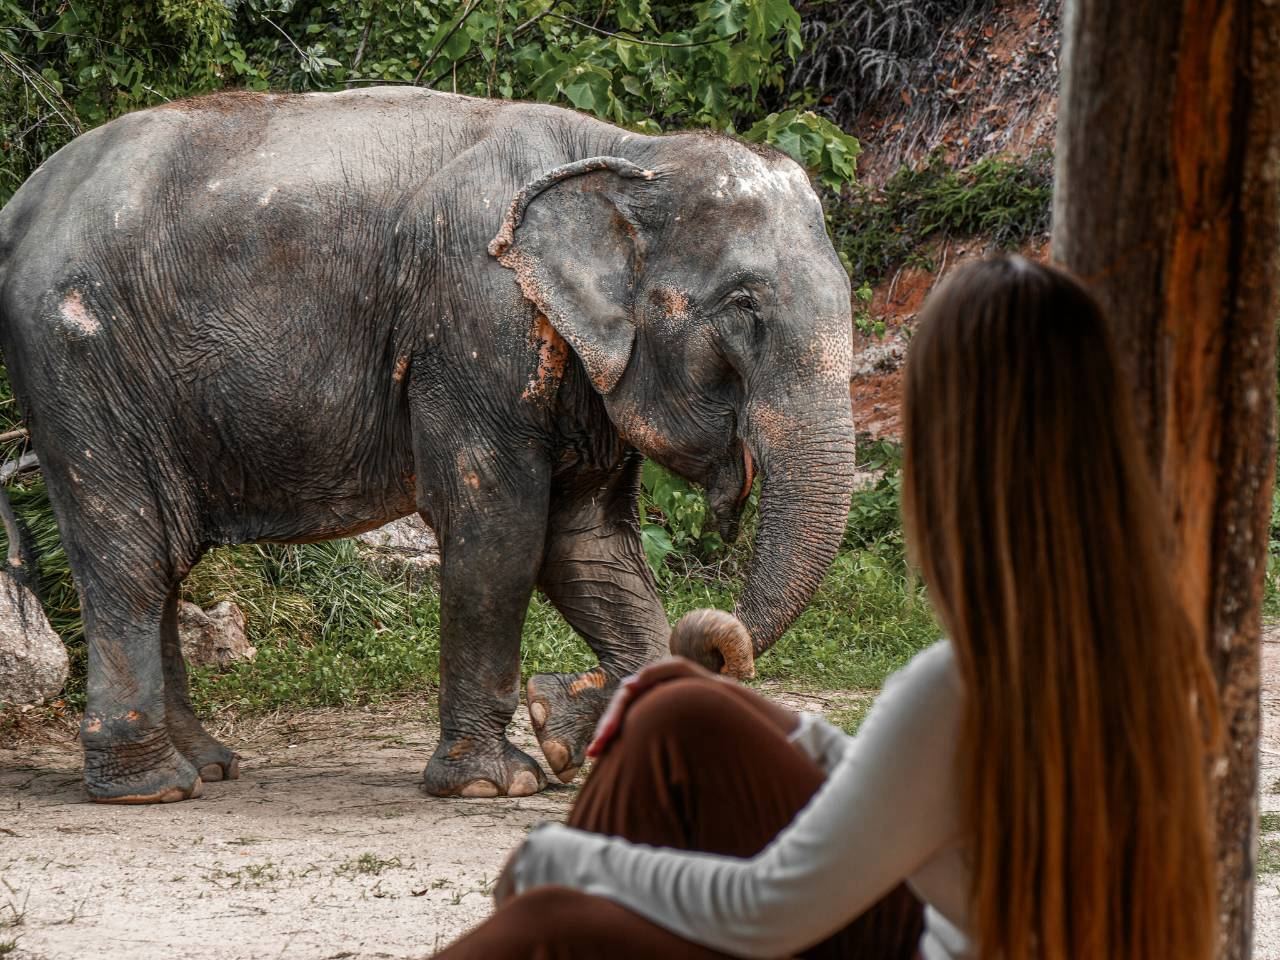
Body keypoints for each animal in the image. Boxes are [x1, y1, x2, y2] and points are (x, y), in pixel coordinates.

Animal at [0, 87, 856, 804]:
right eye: (744, 309)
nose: (556, 699)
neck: (621, 149)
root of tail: (20, 202)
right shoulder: (473, 322)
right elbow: (501, 531)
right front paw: (497, 781)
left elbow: (590, 545)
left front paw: (572, 733)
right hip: (80, 362)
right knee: (131, 555)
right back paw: (152, 788)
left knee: (165, 560)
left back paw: (209, 766)